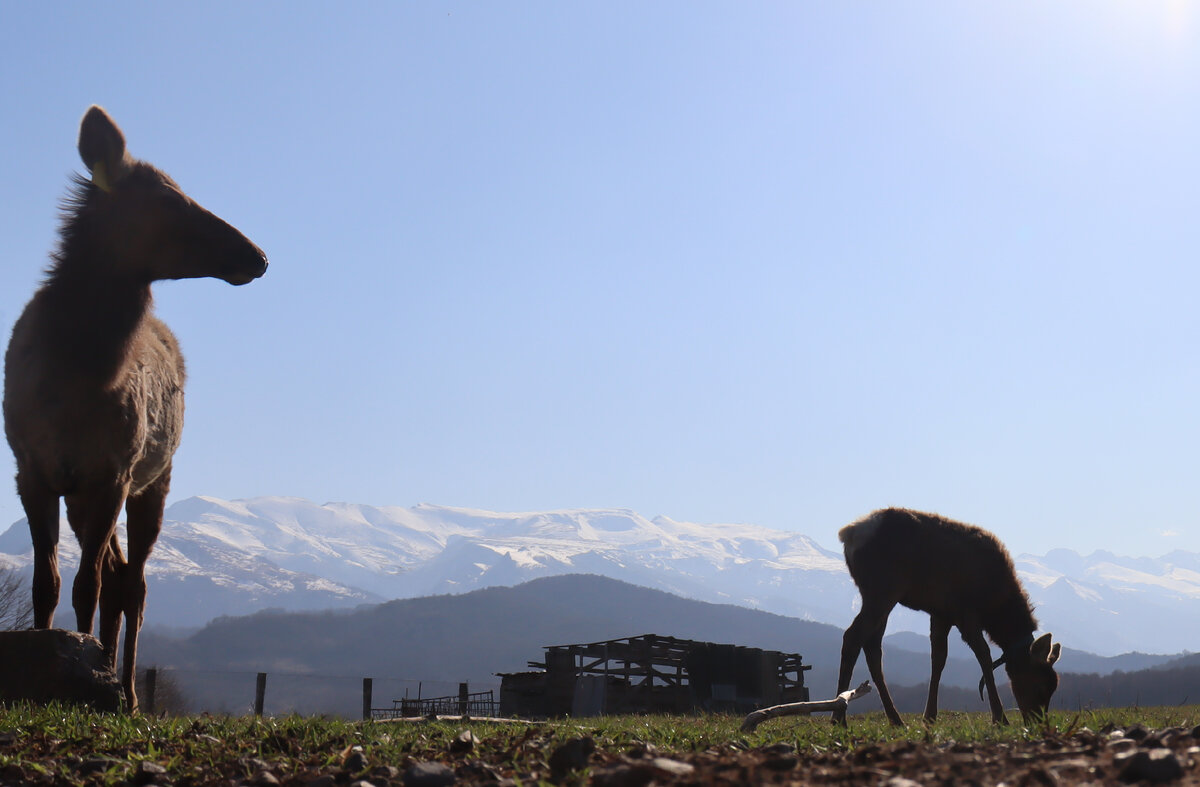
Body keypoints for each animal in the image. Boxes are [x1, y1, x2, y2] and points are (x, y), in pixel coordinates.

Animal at [3, 106, 267, 715]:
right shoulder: (32, 468)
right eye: (170, 201)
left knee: (134, 584)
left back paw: (126, 693)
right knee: (120, 574)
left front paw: (82, 674)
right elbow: (47, 585)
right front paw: (52, 664)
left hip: (155, 478)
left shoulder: (113, 470)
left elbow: (88, 587)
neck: (75, 377)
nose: (258, 255)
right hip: (88, 492)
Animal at [835, 511, 1060, 724]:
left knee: (872, 646)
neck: (995, 604)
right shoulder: (965, 611)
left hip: (882, 596)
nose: (1038, 722)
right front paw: (999, 718)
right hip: (882, 589)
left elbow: (939, 659)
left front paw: (929, 717)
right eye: (1040, 686)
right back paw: (838, 718)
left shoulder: (941, 613)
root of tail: (849, 533)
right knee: (852, 636)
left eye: (1053, 688)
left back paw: (896, 719)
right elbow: (984, 656)